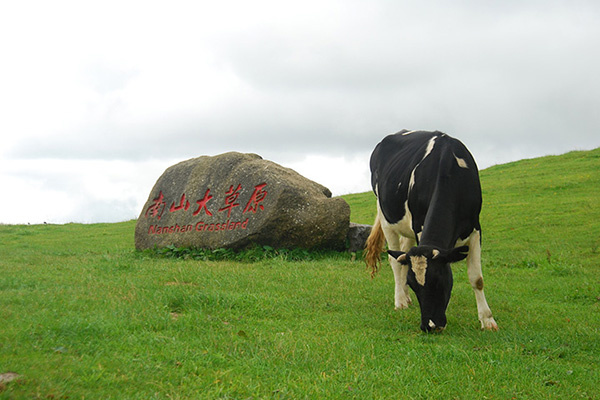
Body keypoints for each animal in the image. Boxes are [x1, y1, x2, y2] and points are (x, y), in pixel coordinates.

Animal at [366, 130, 496, 332]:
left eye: (439, 280)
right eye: (414, 285)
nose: (429, 326)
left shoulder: (475, 228)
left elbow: (477, 278)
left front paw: (487, 320)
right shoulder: (419, 225)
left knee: (403, 253)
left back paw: (405, 298)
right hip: (385, 215)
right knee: (394, 260)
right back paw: (400, 300)